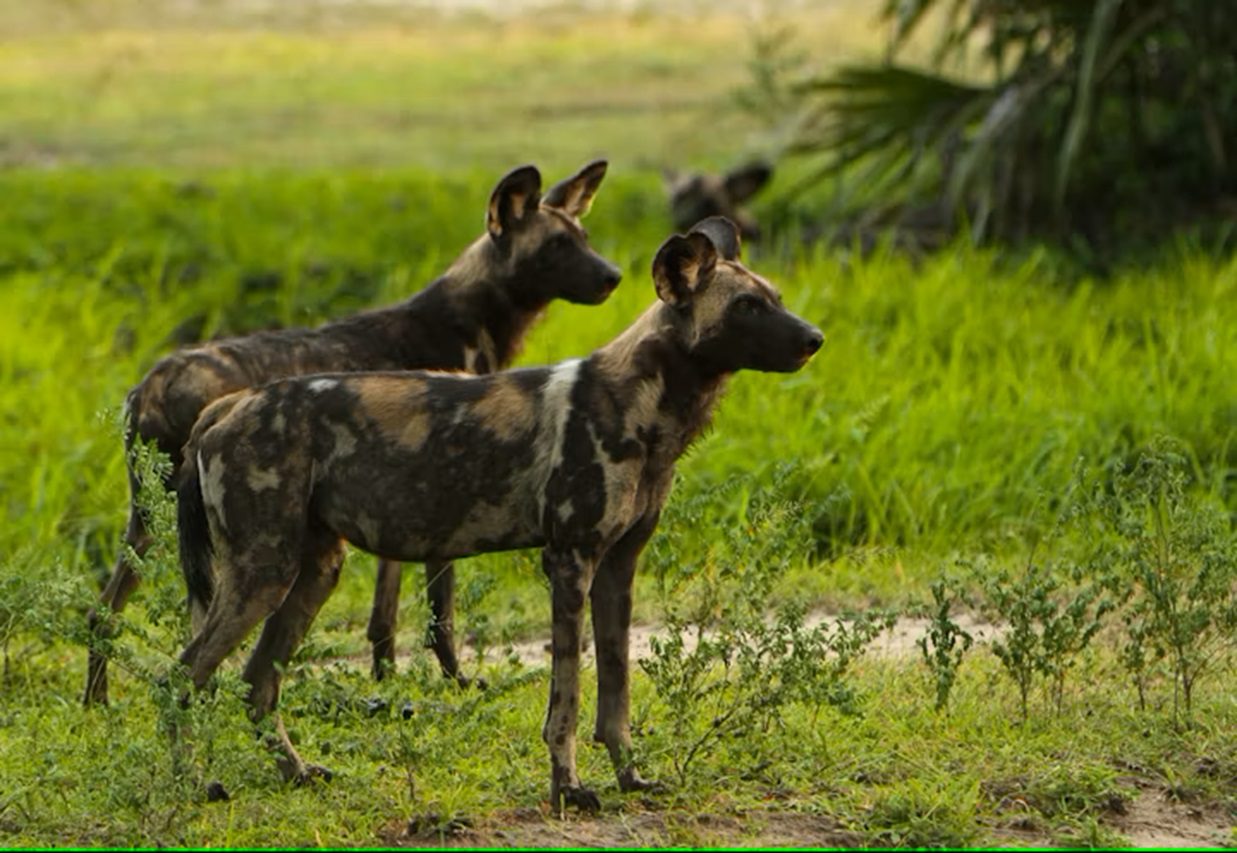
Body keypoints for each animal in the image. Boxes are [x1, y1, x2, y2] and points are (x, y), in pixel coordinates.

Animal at [83, 159, 623, 702]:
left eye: (584, 237)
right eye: (556, 246)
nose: (613, 276)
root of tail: (150, 385)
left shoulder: (405, 501)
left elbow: (385, 613)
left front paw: (385, 674)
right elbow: (441, 612)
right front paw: (454, 679)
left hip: (150, 523)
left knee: (102, 611)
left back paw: (96, 705)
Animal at [174, 213, 826, 810]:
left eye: (775, 299)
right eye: (745, 306)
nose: (815, 338)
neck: (647, 406)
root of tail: (227, 406)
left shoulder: (617, 569)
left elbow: (615, 697)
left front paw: (631, 778)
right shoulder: (569, 562)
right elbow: (567, 701)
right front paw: (568, 788)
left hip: (311, 573)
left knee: (256, 684)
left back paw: (296, 772)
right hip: (263, 573)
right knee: (184, 672)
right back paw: (192, 786)